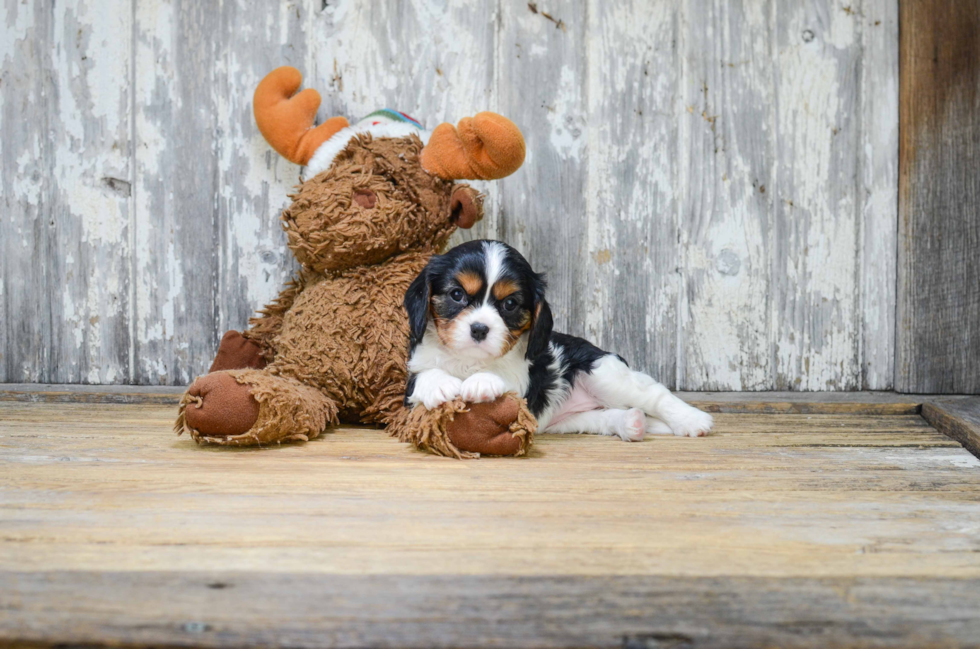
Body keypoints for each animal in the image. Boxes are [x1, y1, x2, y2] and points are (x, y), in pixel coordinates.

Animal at [402, 239, 716, 440]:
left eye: (510, 304)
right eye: (457, 295)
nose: (479, 329)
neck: (469, 360)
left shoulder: (523, 381)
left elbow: (502, 377)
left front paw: (482, 381)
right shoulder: (411, 383)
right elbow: (424, 375)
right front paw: (440, 385)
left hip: (605, 375)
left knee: (654, 394)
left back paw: (692, 420)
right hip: (568, 421)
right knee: (605, 417)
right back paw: (631, 424)